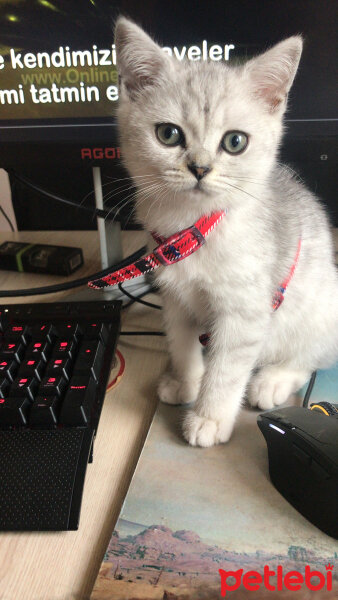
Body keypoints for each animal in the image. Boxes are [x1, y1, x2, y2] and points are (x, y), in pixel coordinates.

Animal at [114, 17, 338, 446]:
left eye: (235, 142)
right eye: (168, 134)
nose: (200, 168)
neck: (192, 227)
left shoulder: (244, 311)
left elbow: (227, 368)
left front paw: (209, 417)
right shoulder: (175, 299)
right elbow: (181, 343)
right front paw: (186, 381)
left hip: (317, 309)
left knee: (311, 354)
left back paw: (272, 380)